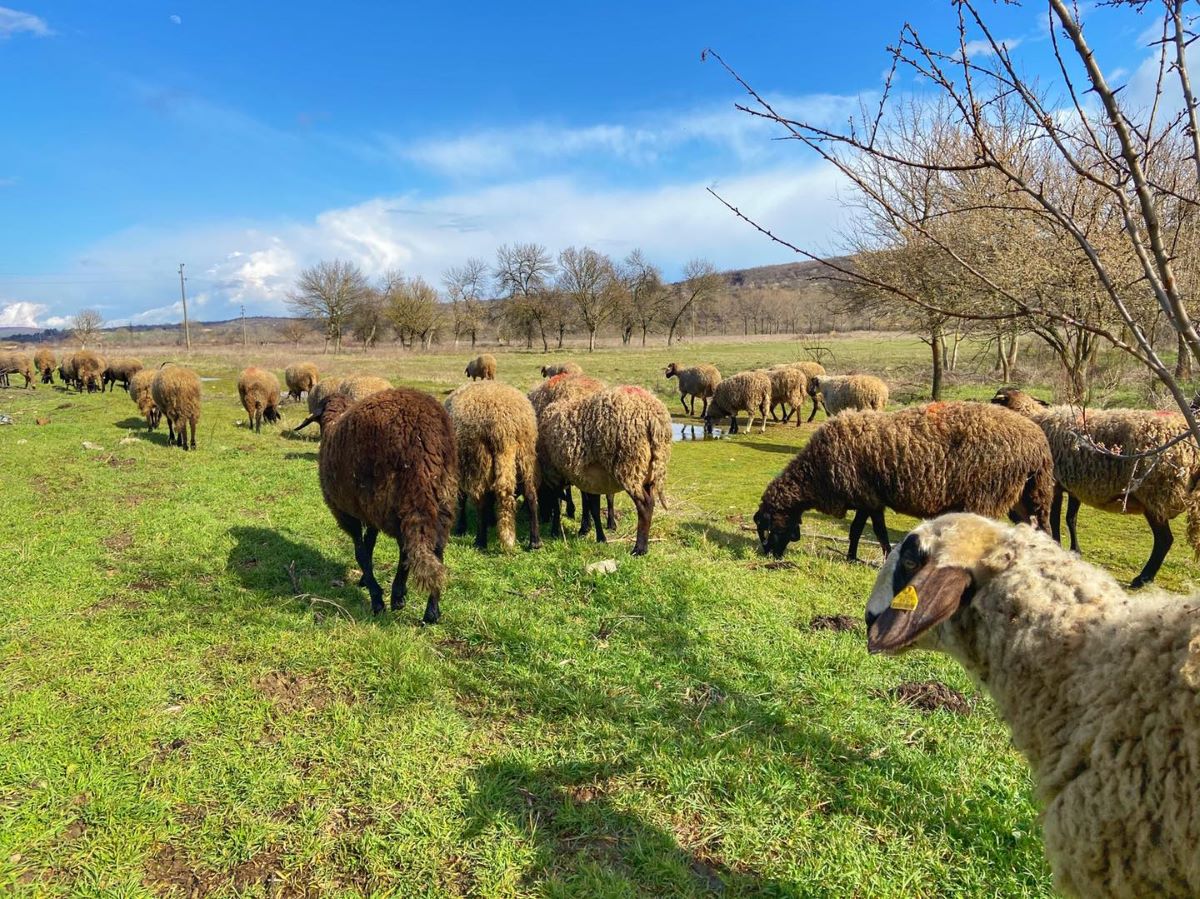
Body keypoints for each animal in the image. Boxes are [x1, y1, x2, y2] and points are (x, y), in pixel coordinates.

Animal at [294, 386, 453, 624]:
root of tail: (423, 436)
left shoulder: (346, 512)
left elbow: (361, 552)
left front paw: (375, 595)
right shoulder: (367, 514)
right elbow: (369, 546)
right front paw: (365, 581)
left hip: (390, 499)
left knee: (406, 547)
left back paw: (396, 596)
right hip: (440, 499)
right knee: (435, 549)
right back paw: (431, 610)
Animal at [446, 376, 540, 547]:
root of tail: (505, 428)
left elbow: (462, 499)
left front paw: (461, 527)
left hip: (480, 458)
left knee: (481, 501)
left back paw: (480, 541)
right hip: (525, 455)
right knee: (530, 495)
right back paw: (535, 541)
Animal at [758, 400, 1051, 561]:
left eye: (768, 526)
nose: (768, 554)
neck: (815, 475)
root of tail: (1038, 444)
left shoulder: (868, 498)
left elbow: (876, 531)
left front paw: (883, 557)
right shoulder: (868, 499)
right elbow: (857, 530)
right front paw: (852, 557)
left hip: (987, 495)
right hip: (1026, 497)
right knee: (1041, 530)